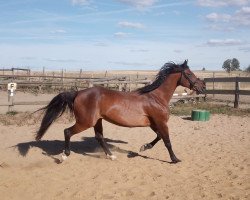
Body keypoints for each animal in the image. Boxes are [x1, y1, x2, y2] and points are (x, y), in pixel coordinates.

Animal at [36, 60, 205, 163]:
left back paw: (112, 156)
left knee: (99, 137)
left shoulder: (154, 123)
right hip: (85, 122)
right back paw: (64, 156)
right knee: (67, 132)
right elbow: (167, 141)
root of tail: (78, 93)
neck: (156, 97)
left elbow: (158, 137)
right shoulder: (161, 122)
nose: (202, 86)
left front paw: (143, 148)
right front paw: (175, 159)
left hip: (97, 121)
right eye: (189, 74)